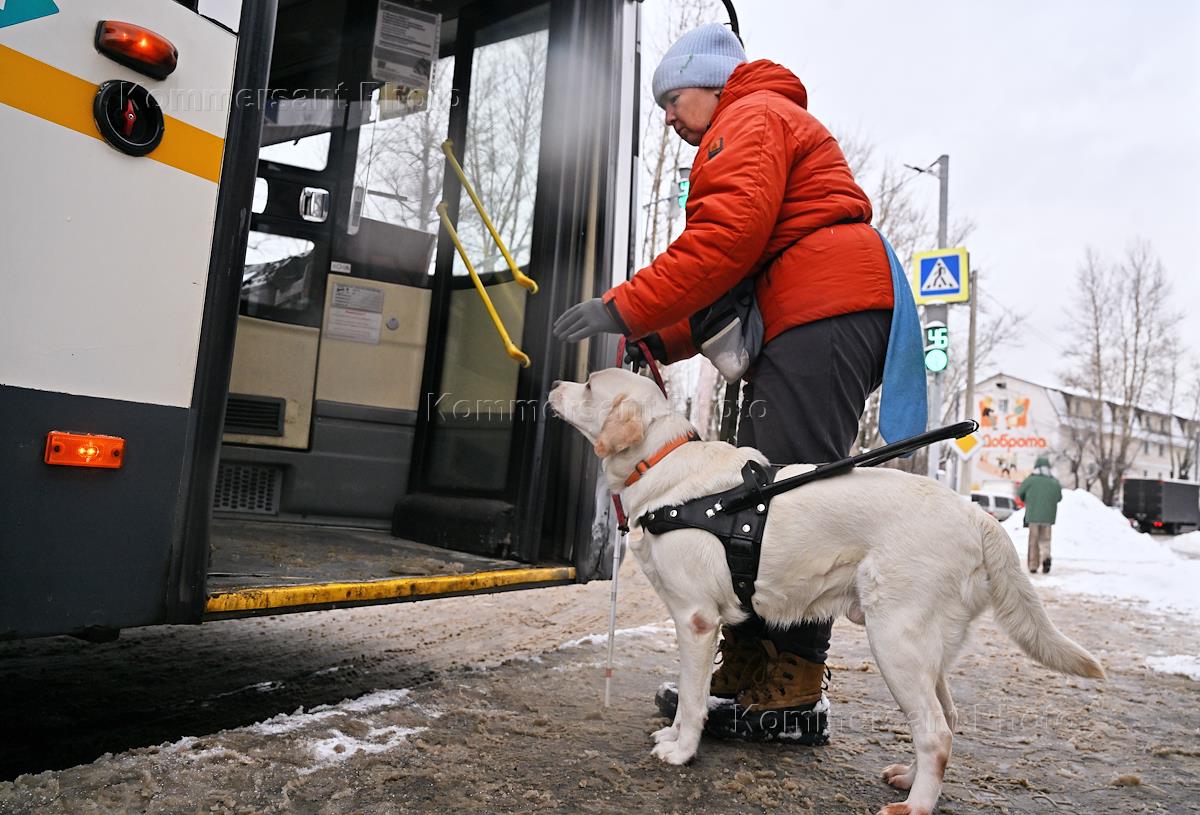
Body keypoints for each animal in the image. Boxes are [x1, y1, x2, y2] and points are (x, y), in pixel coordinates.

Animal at [549, 368, 1103, 815]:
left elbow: (691, 698)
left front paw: (681, 750)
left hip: (895, 641)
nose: (553, 384)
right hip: (927, 651)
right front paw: (674, 737)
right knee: (945, 718)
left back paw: (915, 805)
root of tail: (977, 514)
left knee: (937, 732)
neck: (662, 463)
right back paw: (909, 778)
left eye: (590, 385)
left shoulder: (697, 620)